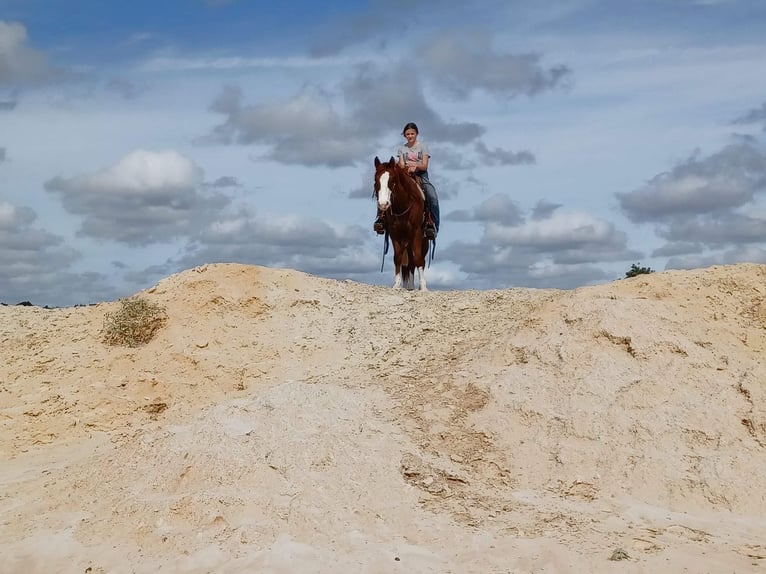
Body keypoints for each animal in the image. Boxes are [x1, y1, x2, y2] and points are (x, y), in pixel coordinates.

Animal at [374, 156, 432, 290]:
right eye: (375, 180)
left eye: (392, 180)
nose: (383, 204)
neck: (403, 205)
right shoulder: (394, 233)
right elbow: (398, 258)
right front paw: (397, 284)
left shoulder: (417, 232)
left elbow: (418, 259)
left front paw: (423, 287)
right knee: (410, 262)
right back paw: (410, 286)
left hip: (423, 241)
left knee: (417, 260)